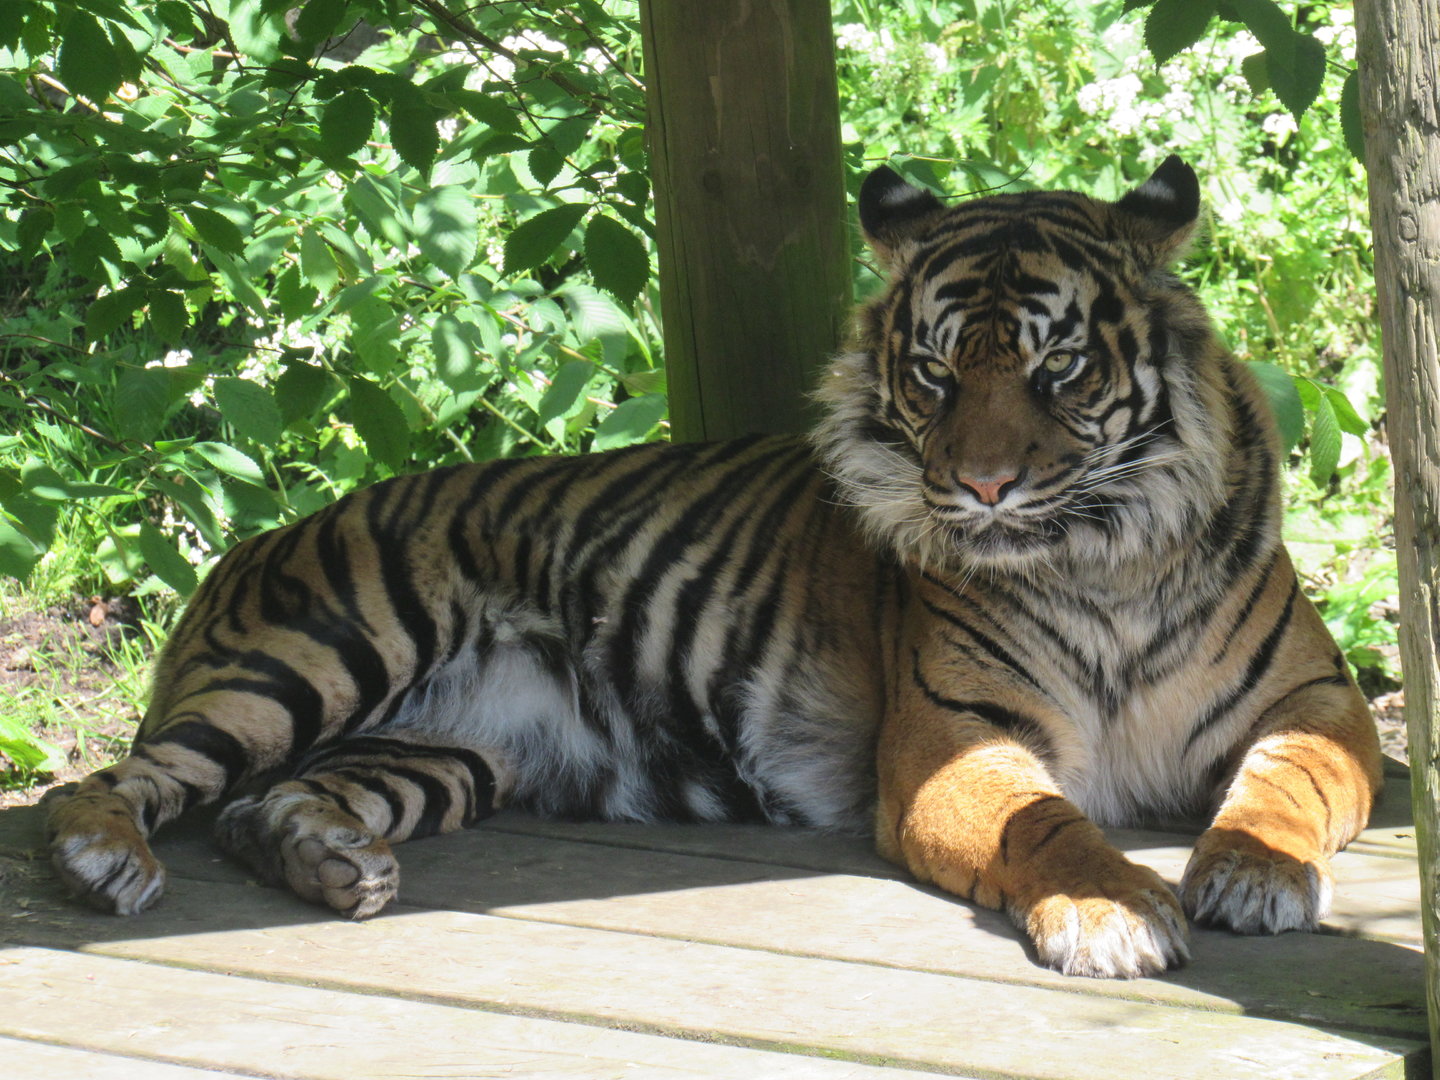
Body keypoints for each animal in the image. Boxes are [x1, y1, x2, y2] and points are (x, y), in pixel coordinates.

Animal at [42, 155, 1382, 980]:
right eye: (936, 371)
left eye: (1058, 368)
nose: (984, 487)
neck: (1104, 562)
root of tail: (250, 541)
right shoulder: (950, 738)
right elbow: (1047, 824)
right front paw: (1117, 910)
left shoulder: (1319, 703)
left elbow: (1291, 783)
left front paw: (1251, 871)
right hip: (321, 655)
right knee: (109, 785)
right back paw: (106, 860)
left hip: (445, 751)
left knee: (258, 807)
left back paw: (330, 866)